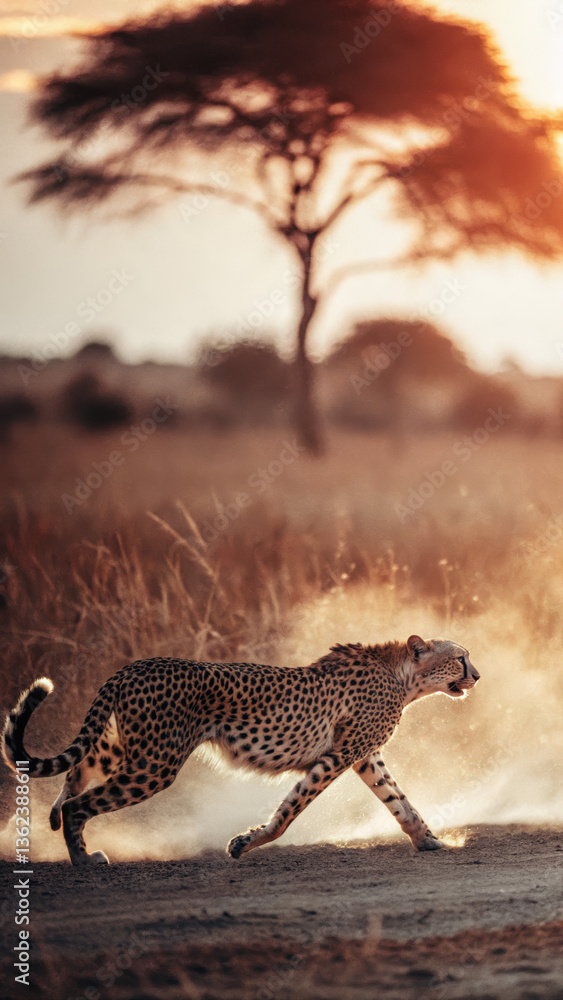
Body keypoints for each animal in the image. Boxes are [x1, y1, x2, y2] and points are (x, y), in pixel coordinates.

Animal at [2, 634, 479, 865]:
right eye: (460, 657)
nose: (477, 675)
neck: (404, 677)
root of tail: (134, 665)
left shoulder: (362, 756)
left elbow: (399, 801)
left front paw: (429, 840)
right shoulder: (338, 757)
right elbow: (288, 813)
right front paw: (244, 844)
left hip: (131, 749)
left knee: (76, 770)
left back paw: (49, 817)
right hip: (155, 763)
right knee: (81, 803)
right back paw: (83, 859)